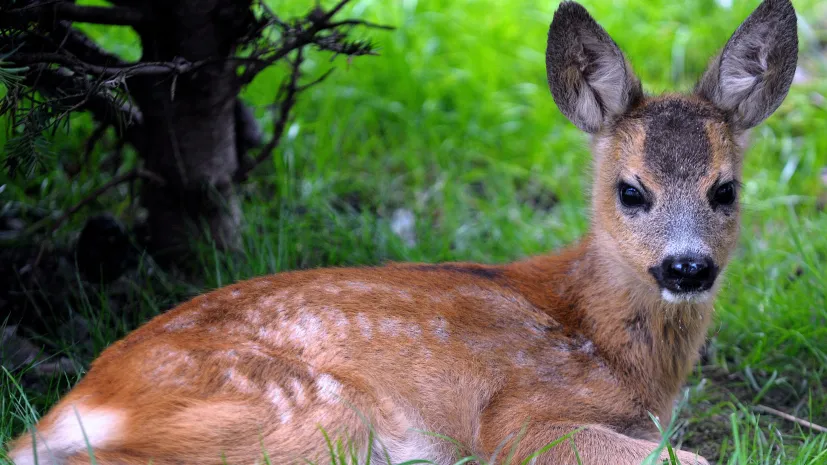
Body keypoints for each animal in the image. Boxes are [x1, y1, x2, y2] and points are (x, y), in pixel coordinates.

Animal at [3, 0, 800, 462]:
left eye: (724, 190)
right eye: (630, 192)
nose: (687, 267)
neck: (606, 341)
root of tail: (76, 407)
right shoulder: (522, 416)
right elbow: (688, 456)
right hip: (312, 418)